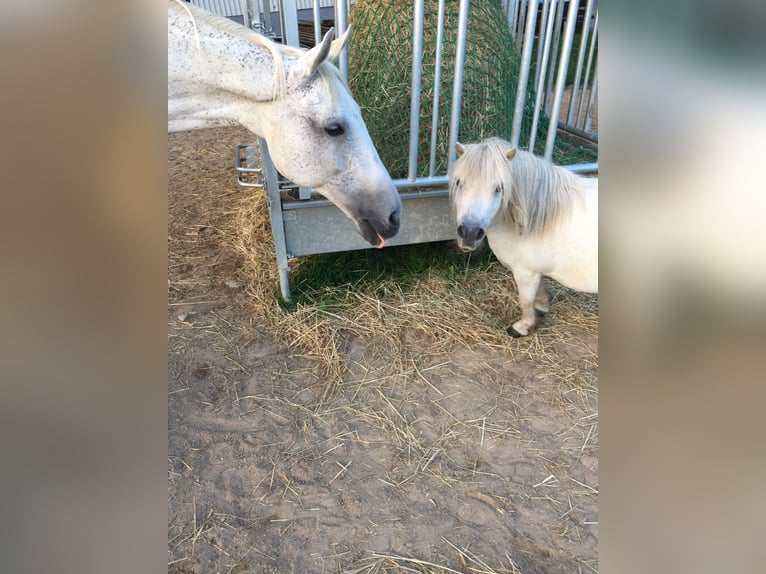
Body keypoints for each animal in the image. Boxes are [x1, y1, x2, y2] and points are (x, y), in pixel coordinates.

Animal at [450, 139, 600, 338]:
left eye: (499, 188)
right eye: (459, 182)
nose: (469, 233)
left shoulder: (526, 272)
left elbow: (525, 300)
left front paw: (522, 327)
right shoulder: (534, 271)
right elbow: (540, 291)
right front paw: (542, 307)